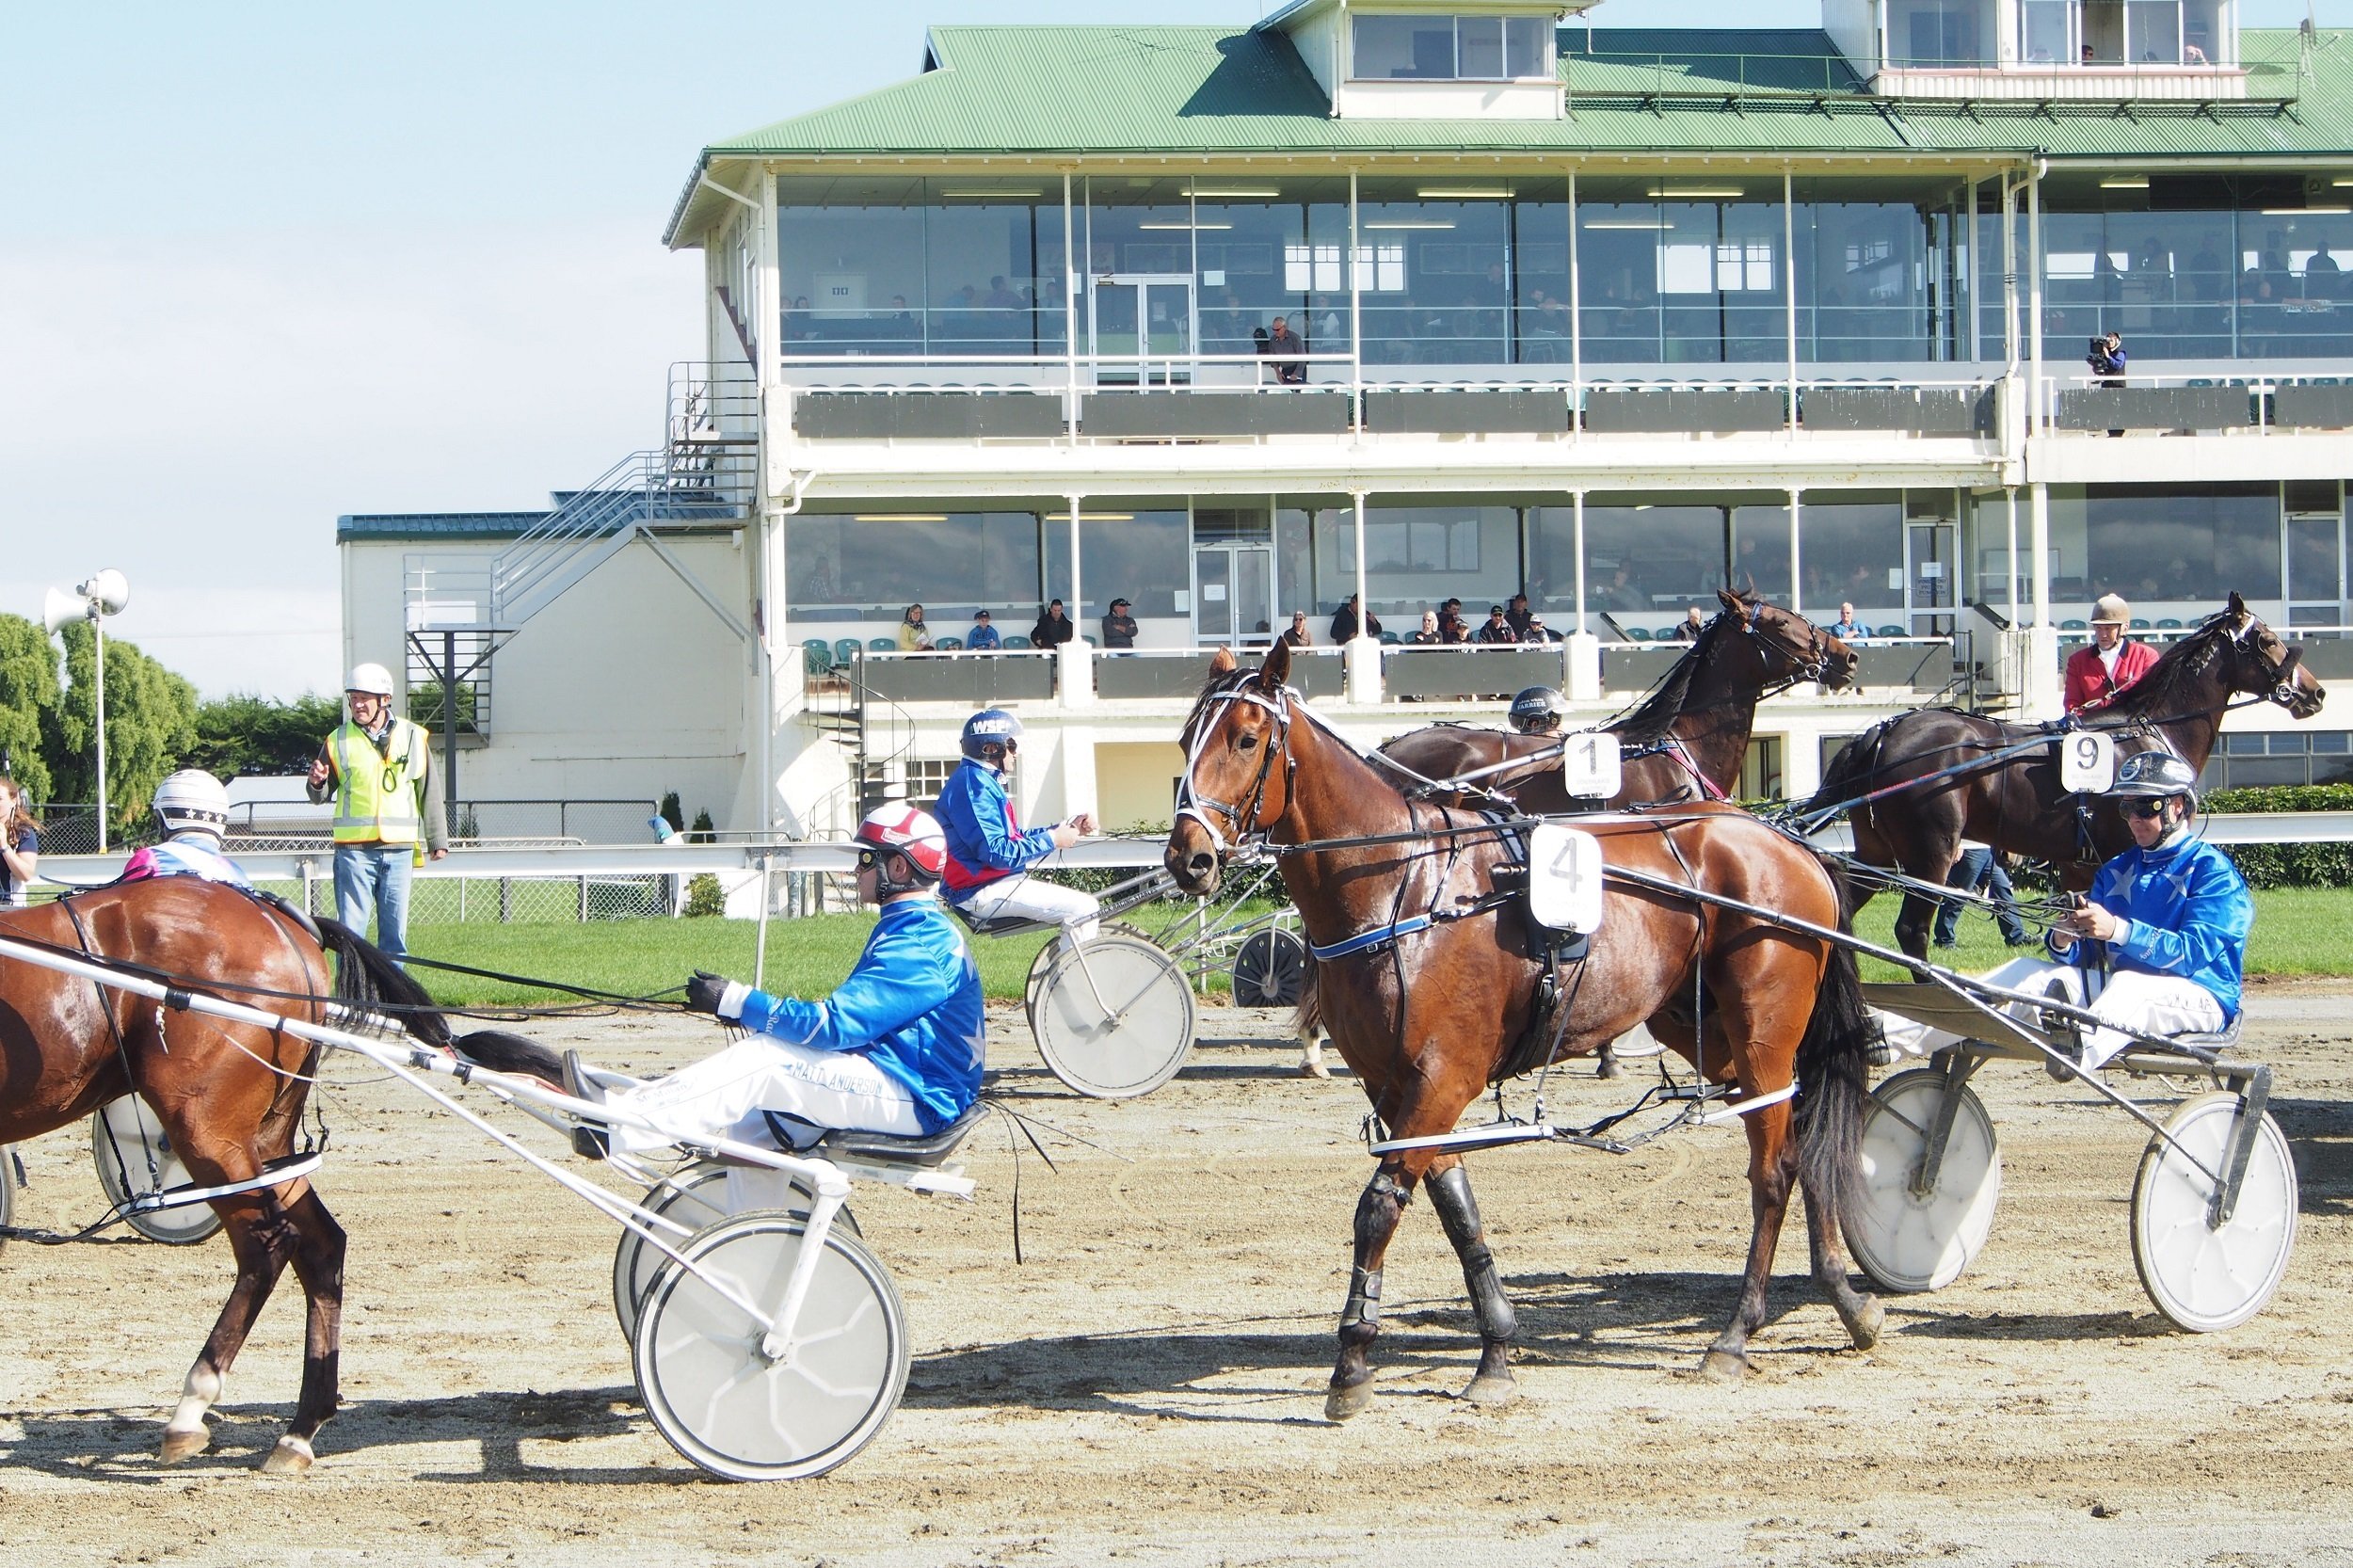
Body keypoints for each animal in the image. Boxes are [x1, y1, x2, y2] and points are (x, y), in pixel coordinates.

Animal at [0, 880, 555, 1468]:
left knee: (266, 1247)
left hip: (207, 1129)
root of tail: (283, 920)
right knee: (321, 1245)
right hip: (264, 1142)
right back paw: (300, 1428)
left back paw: (192, 1407)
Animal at [1167, 640, 1882, 1412]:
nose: (1188, 858)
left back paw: (1735, 1334)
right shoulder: (1398, 1086)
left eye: (1246, 739)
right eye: (1183, 741)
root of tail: (1789, 845)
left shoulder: (1441, 1076)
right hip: (1703, 1030)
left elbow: (1379, 1207)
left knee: (1774, 1171)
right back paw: (1847, 1299)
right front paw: (1495, 1351)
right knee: (1803, 1141)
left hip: (1762, 1035)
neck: (1399, 886)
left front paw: (1351, 1363)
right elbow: (1456, 1209)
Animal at [1807, 588, 2325, 946]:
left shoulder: (2081, 865)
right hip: (1929, 855)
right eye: (2268, 640)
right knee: (1911, 931)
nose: (2315, 692)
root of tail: (1882, 734)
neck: (2144, 734)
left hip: (1879, 854)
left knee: (1840, 912)